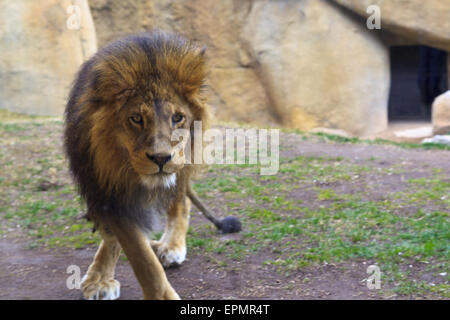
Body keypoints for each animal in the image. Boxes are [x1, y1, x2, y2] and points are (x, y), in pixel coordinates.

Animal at [62, 30, 241, 300]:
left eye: (177, 118)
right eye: (136, 118)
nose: (161, 158)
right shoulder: (109, 193)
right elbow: (143, 260)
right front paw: (102, 279)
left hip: (184, 162)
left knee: (181, 201)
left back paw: (171, 246)